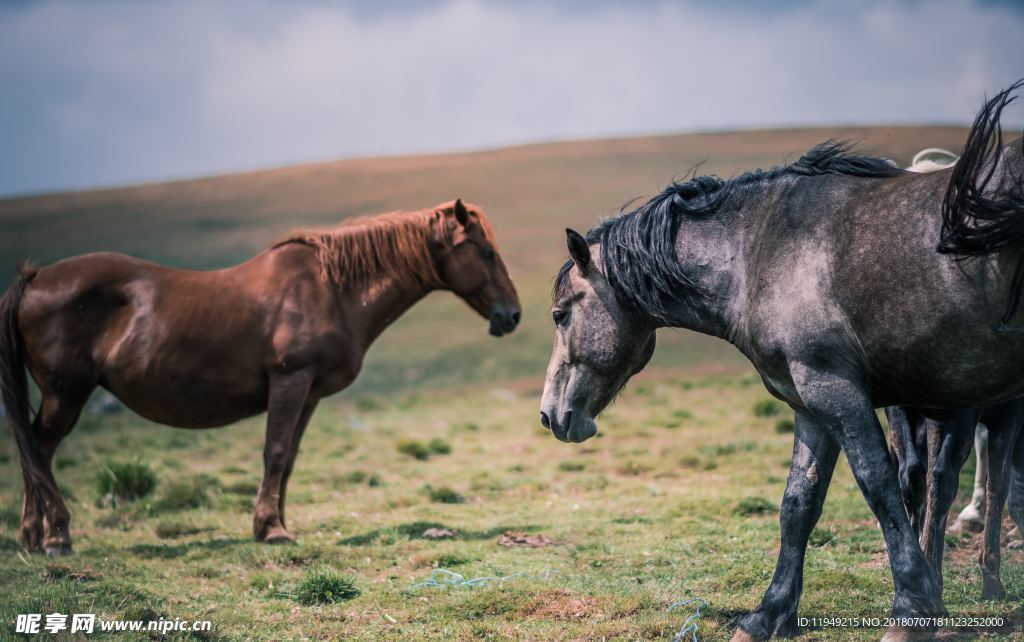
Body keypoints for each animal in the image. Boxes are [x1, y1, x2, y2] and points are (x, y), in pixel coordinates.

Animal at [0, 198, 520, 557]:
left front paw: (275, 523)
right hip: (66, 394)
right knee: (39, 451)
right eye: (486, 252)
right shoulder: (290, 380)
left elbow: (288, 459)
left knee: (34, 450)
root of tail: (37, 277)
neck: (332, 288)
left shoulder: (309, 393)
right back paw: (57, 537)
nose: (511, 315)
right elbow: (274, 452)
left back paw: (31, 537)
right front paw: (272, 529)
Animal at [540, 81, 1024, 642]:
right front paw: (769, 614)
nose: (549, 415)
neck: (760, 251)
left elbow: (878, 487)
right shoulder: (810, 405)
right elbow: (798, 505)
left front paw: (911, 609)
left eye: (559, 314)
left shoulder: (835, 390)